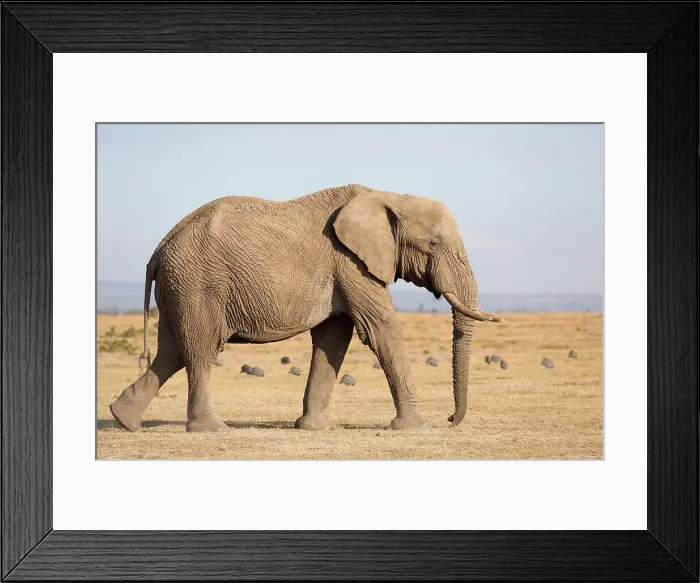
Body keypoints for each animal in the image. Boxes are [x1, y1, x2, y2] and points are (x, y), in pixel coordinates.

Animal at [108, 183, 504, 433]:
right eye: (433, 244)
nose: (451, 419)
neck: (389, 196)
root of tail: (158, 250)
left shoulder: (344, 269)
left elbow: (335, 337)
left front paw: (316, 428)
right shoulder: (352, 263)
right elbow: (381, 328)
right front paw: (417, 428)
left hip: (179, 287)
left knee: (172, 352)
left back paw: (124, 420)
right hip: (197, 285)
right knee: (200, 351)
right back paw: (211, 430)